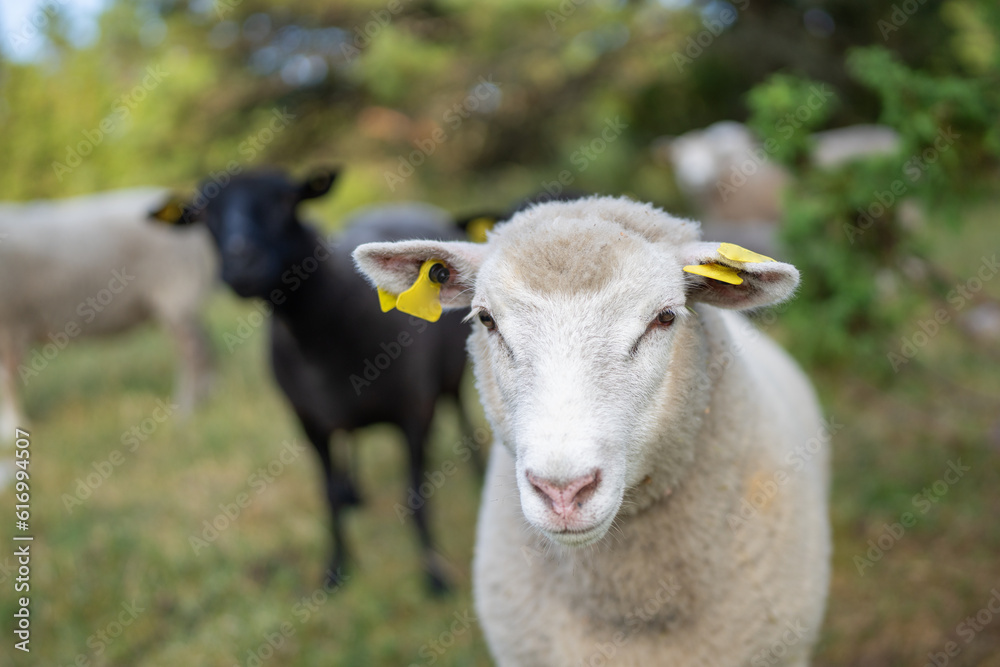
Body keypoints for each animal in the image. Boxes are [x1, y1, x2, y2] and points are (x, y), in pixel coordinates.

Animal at [0, 187, 217, 438]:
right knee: (206, 347)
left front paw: (10, 428)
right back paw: (210, 394)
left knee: (192, 354)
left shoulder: (11, 324)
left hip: (177, 293)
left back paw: (186, 410)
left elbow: (8, 379)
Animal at [153, 168, 476, 591]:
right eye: (205, 216)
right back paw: (356, 491)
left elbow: (416, 497)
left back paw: (478, 466)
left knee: (462, 408)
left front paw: (434, 573)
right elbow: (328, 496)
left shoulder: (415, 412)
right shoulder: (309, 422)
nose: (241, 265)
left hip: (452, 376)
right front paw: (335, 569)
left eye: (285, 202)